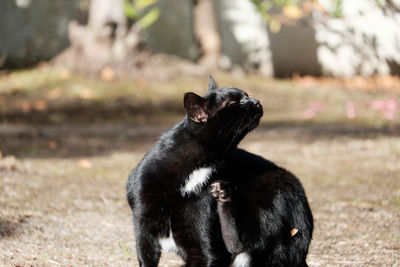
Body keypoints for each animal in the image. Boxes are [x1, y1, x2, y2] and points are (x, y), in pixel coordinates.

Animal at [126, 76, 312, 266]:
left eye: (246, 95)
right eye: (232, 102)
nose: (256, 101)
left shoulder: (202, 245)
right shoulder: (143, 229)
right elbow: (145, 256)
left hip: (277, 183)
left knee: (243, 242)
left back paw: (224, 196)